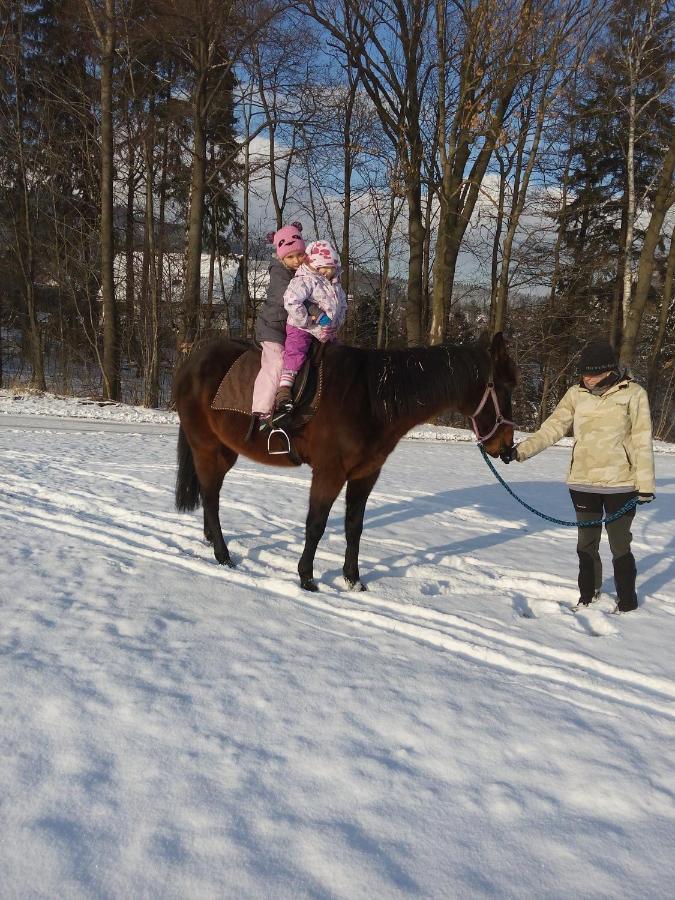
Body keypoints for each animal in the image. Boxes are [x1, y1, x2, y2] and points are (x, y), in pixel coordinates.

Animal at [174, 334, 516, 596]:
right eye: (506, 387)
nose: (506, 446)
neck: (371, 399)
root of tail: (193, 361)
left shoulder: (365, 474)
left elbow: (355, 527)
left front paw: (353, 580)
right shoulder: (330, 473)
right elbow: (316, 525)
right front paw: (307, 578)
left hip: (223, 451)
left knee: (210, 496)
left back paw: (211, 540)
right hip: (207, 448)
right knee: (212, 498)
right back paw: (223, 555)